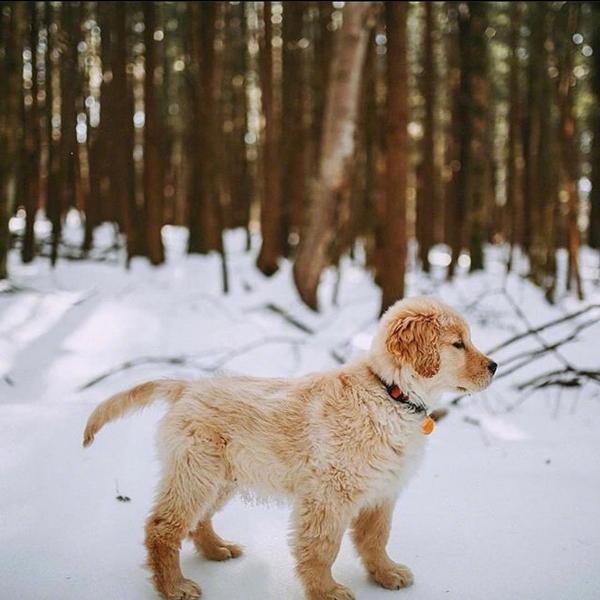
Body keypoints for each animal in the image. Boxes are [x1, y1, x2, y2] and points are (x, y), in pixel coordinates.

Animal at [84, 296, 496, 600]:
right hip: (195, 474)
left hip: (221, 478)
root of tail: (187, 387)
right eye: (458, 344)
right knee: (162, 527)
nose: (494, 366)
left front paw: (386, 573)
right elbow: (322, 547)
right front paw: (326, 591)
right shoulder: (329, 495)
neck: (390, 394)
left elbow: (375, 539)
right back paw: (174, 587)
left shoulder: (382, 493)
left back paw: (217, 550)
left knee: (198, 521)